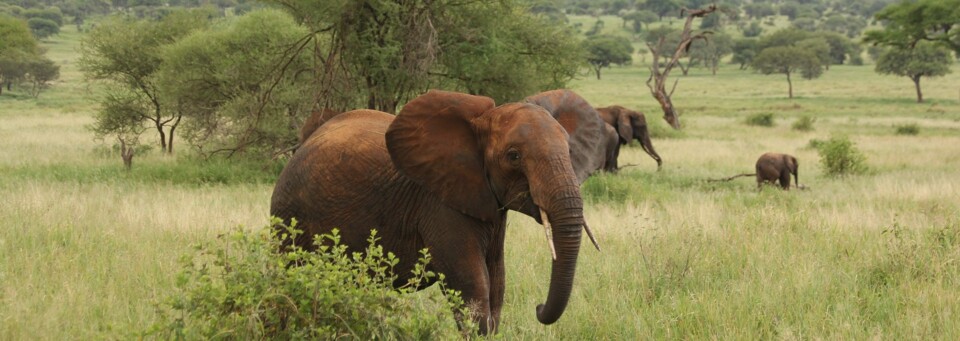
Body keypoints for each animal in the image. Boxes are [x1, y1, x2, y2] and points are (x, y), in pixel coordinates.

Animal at [270, 89, 600, 334]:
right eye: (514, 156)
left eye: (570, 151)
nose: (538, 308)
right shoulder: (439, 204)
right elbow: (472, 285)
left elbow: (497, 282)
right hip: (288, 215)